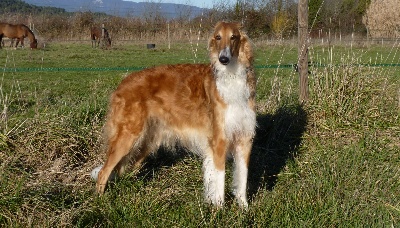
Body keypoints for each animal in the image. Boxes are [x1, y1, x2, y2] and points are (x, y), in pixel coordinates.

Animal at [94, 21, 256, 208]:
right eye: (218, 37)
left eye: (233, 37)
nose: (223, 59)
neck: (231, 77)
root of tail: (122, 83)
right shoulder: (219, 140)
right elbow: (219, 182)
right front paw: (219, 208)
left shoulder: (245, 139)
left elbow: (242, 178)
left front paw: (243, 207)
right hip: (127, 137)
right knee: (103, 172)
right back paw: (100, 202)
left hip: (148, 141)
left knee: (126, 168)